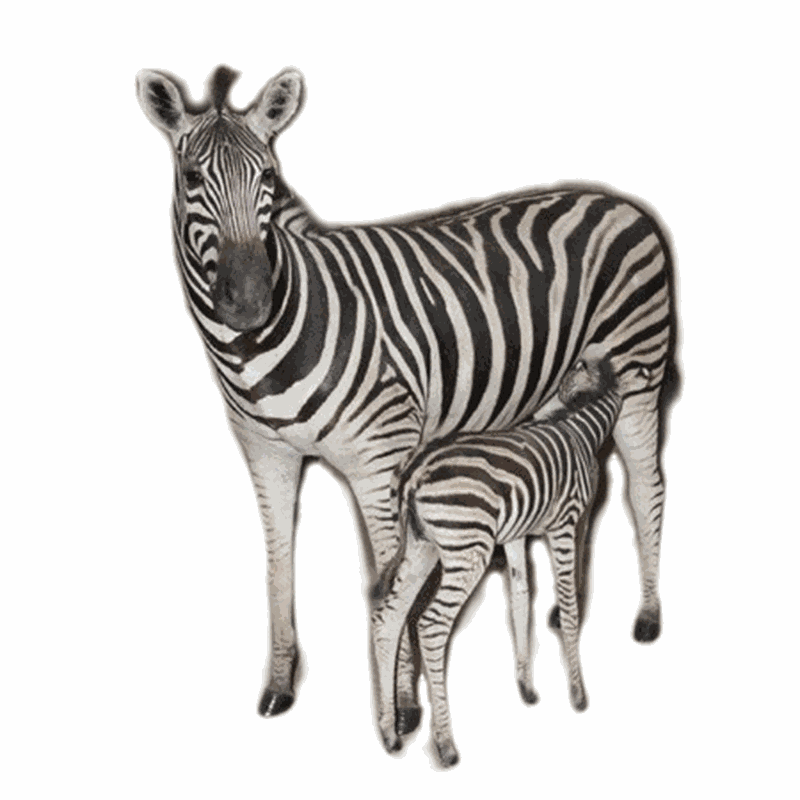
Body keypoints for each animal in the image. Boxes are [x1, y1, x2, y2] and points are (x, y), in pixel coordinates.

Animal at [371, 356, 650, 766]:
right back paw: (446, 744)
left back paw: (390, 733)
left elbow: (521, 599)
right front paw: (577, 692)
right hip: (467, 548)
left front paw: (527, 686)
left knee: (389, 618)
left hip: (421, 547)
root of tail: (415, 471)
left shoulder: (517, 535)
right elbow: (568, 605)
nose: (554, 402)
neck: (583, 429)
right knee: (432, 624)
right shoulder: (564, 524)